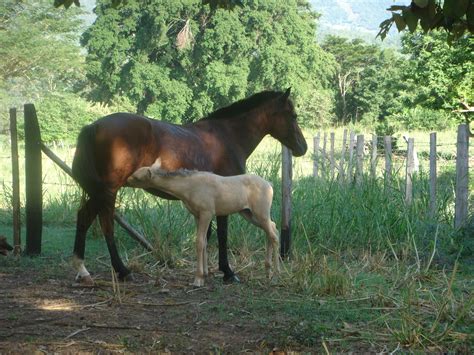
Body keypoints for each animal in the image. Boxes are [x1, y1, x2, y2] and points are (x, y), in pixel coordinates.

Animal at [70, 89, 308, 286]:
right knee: (106, 225)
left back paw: (83, 270)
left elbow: (208, 235)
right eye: (293, 115)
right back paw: (122, 270)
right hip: (108, 192)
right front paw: (227, 272)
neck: (227, 136)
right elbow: (222, 234)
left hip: (99, 192)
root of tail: (93, 127)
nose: (303, 148)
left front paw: (207, 272)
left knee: (83, 217)